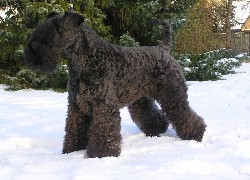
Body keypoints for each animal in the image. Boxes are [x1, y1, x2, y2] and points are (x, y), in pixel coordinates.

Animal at [23, 11, 207, 158]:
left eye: (58, 28)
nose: (32, 46)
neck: (86, 59)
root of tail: (163, 48)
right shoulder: (76, 106)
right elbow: (73, 129)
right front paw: (71, 151)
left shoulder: (103, 106)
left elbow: (104, 131)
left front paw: (102, 154)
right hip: (140, 99)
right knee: (150, 114)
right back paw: (156, 130)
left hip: (172, 94)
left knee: (183, 113)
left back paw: (196, 134)